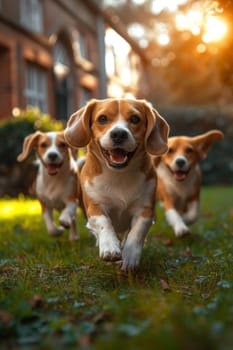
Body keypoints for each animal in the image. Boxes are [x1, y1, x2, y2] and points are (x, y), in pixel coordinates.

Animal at [63, 98, 169, 270]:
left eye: (135, 119)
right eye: (102, 118)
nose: (119, 133)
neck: (118, 175)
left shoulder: (145, 210)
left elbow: (137, 232)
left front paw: (130, 256)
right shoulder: (94, 207)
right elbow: (104, 223)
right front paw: (109, 247)